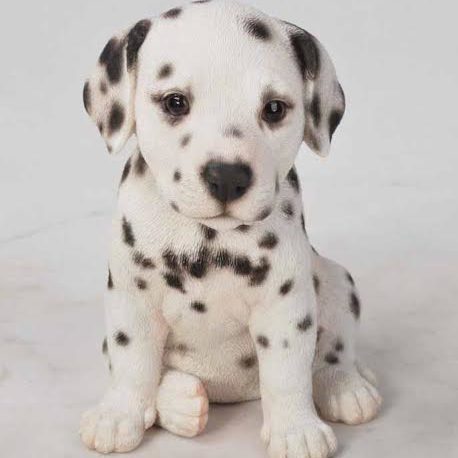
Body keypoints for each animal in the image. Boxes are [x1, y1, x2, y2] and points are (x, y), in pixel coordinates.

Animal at [80, 1, 382, 456]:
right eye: (175, 102)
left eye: (274, 108)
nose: (226, 176)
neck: (205, 238)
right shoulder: (131, 299)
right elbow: (132, 363)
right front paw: (119, 414)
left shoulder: (285, 306)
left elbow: (287, 373)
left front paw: (295, 429)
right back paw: (181, 402)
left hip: (335, 279)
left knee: (334, 349)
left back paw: (345, 385)